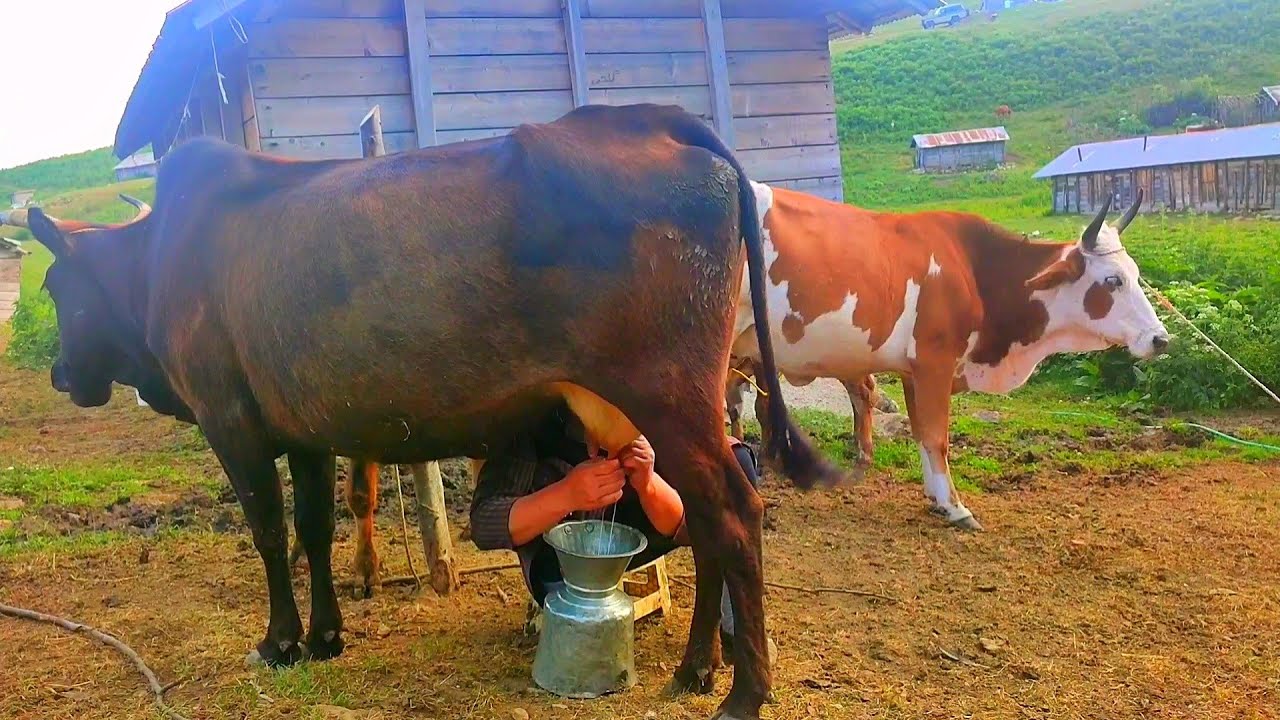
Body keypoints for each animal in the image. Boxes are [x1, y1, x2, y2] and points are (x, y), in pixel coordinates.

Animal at [3, 103, 841, 720]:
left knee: (733, 512)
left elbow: (269, 533)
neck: (157, 260)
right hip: (672, 406)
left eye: (53, 287)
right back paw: (696, 669)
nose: (59, 372)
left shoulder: (229, 418)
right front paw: (327, 635)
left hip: (666, 393)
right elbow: (314, 529)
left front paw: (278, 642)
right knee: (706, 516)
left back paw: (743, 692)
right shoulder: (304, 429)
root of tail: (655, 121)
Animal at [725, 183, 1168, 531]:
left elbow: (923, 433)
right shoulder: (936, 362)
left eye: (1135, 273)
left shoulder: (913, 371)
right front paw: (955, 507)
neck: (973, 268)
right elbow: (938, 437)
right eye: (1112, 280)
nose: (1161, 338)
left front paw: (937, 498)